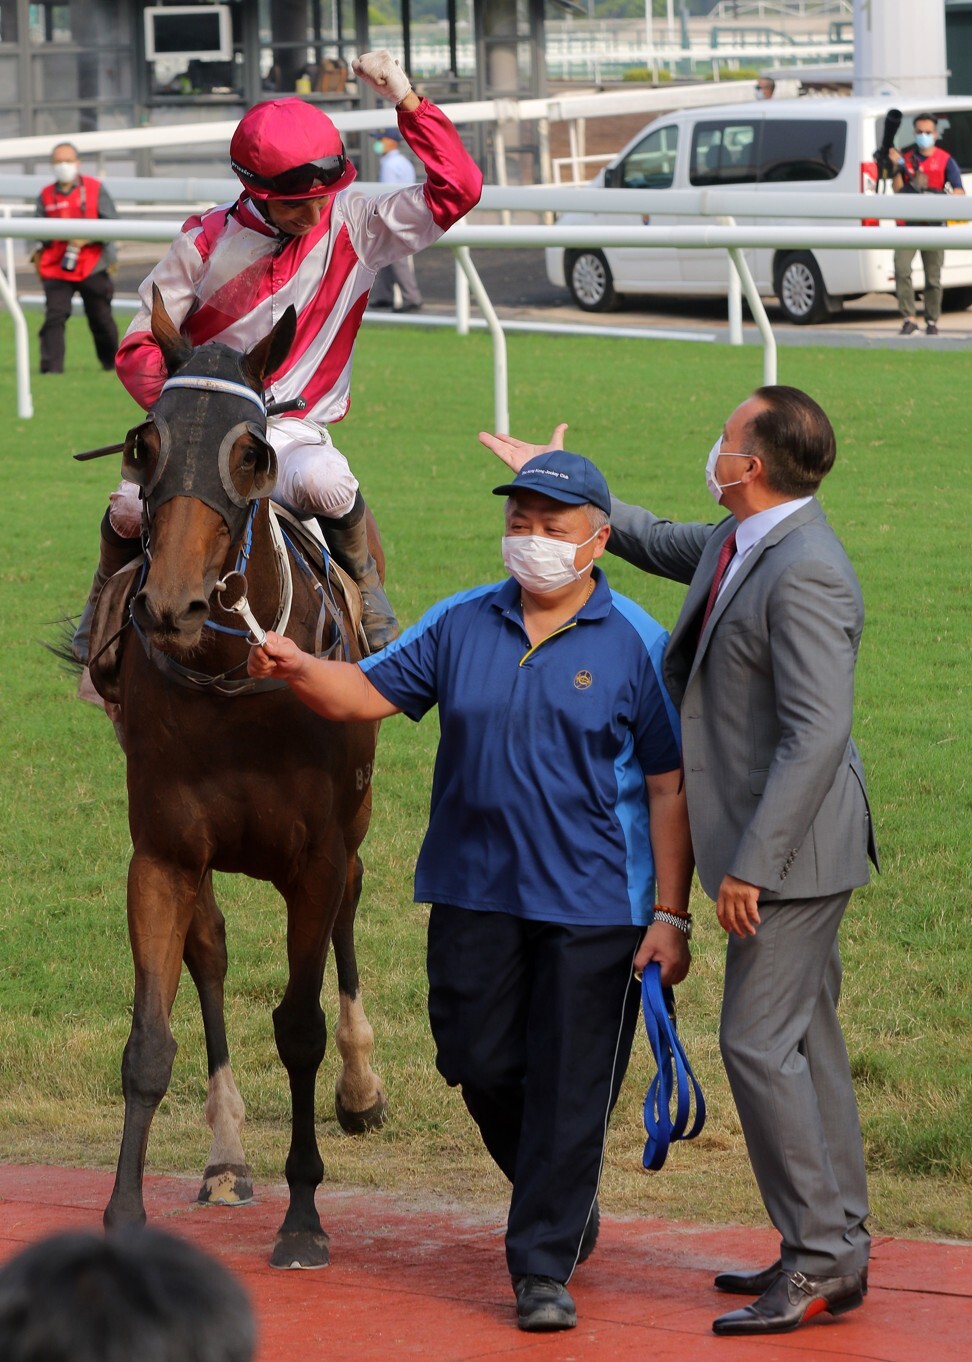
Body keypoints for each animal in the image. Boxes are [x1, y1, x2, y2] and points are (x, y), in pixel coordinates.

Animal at [91, 290, 383, 1274]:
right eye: (144, 443)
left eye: (252, 453)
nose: (170, 605)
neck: (231, 678)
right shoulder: (164, 852)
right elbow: (150, 1039)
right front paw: (125, 1215)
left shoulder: (317, 853)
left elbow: (298, 1025)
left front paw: (305, 1218)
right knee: (211, 950)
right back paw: (225, 1157)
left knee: (349, 915)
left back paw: (362, 1085)